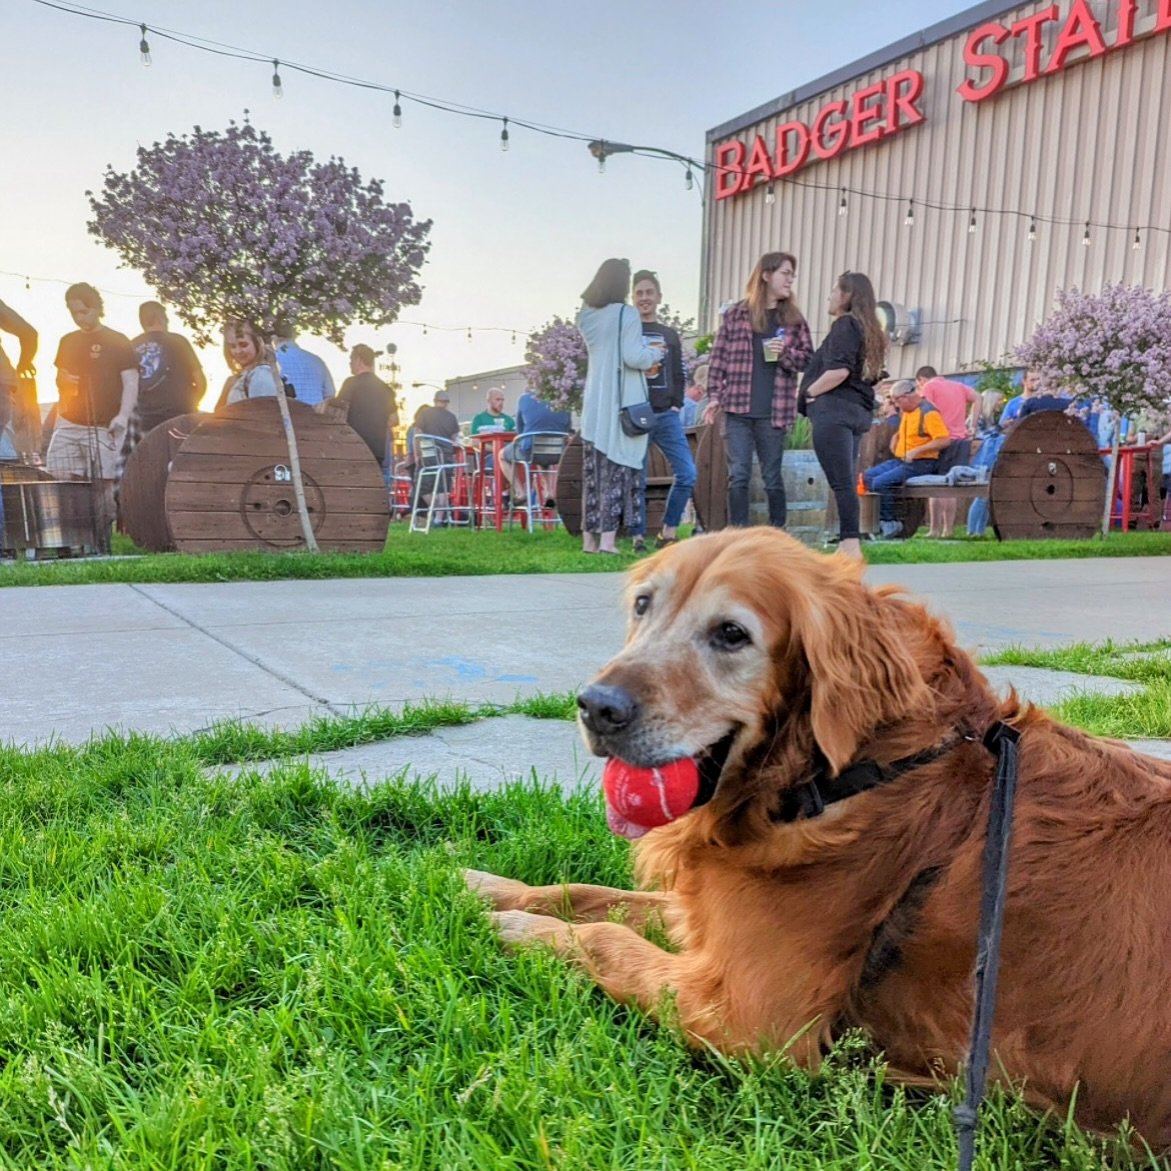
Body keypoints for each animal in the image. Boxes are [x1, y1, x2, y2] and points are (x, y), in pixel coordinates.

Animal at [468, 526, 1171, 1147]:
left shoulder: (755, 1021)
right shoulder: (714, 929)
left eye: (731, 634)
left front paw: (521, 931)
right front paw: (484, 888)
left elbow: (607, 940)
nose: (596, 706)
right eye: (644, 605)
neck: (846, 773)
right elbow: (592, 895)